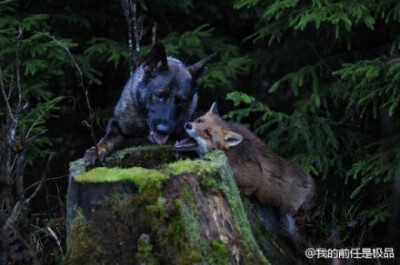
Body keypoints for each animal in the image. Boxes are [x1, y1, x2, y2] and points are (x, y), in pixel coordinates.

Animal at [84, 42, 212, 164]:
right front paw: (97, 149)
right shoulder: (117, 125)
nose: (163, 130)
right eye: (159, 95)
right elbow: (108, 137)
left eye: (181, 101)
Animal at [175, 102, 316, 236]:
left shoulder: (254, 178)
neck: (228, 153)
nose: (188, 125)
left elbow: (248, 188)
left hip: (289, 214)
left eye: (207, 133)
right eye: (199, 120)